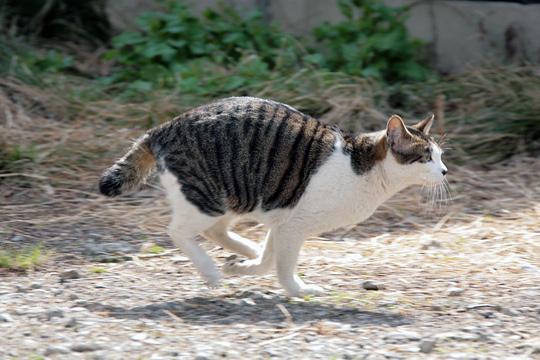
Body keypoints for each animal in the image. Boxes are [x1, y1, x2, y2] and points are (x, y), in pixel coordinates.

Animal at [98, 95, 448, 296]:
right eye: (426, 157)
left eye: (441, 155)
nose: (445, 171)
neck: (363, 168)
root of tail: (165, 127)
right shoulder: (295, 225)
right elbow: (283, 266)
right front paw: (298, 289)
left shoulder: (282, 219)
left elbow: (268, 260)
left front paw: (244, 267)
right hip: (206, 196)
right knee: (178, 231)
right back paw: (210, 272)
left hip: (234, 196)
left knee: (214, 231)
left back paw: (243, 252)